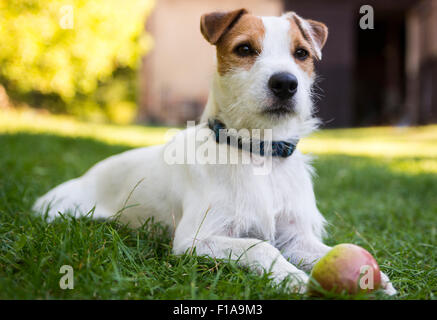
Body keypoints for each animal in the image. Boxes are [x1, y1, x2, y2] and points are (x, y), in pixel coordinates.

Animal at [32, 9, 396, 296]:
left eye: (302, 53)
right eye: (245, 48)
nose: (285, 83)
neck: (259, 152)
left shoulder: (296, 237)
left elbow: (328, 251)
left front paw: (376, 278)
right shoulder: (196, 239)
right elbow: (259, 246)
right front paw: (290, 277)